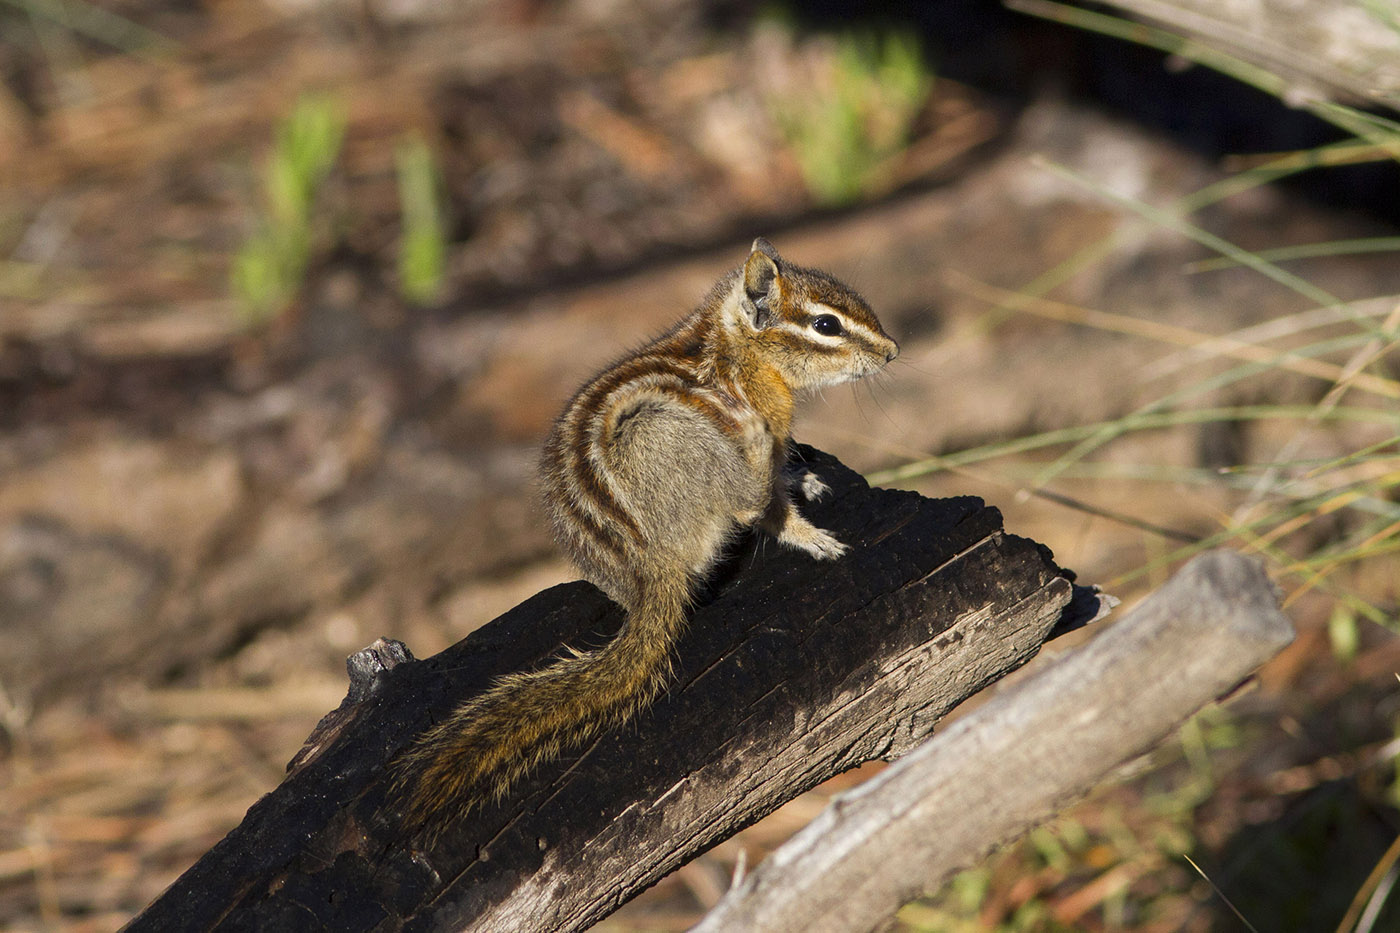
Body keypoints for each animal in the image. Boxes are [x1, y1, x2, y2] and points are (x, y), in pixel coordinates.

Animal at [393, 237, 898, 836]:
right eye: (825, 324)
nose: (892, 352)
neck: (737, 352)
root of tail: (648, 568)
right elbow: (771, 507)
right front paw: (809, 529)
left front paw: (803, 476)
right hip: (665, 432)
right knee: (745, 499)